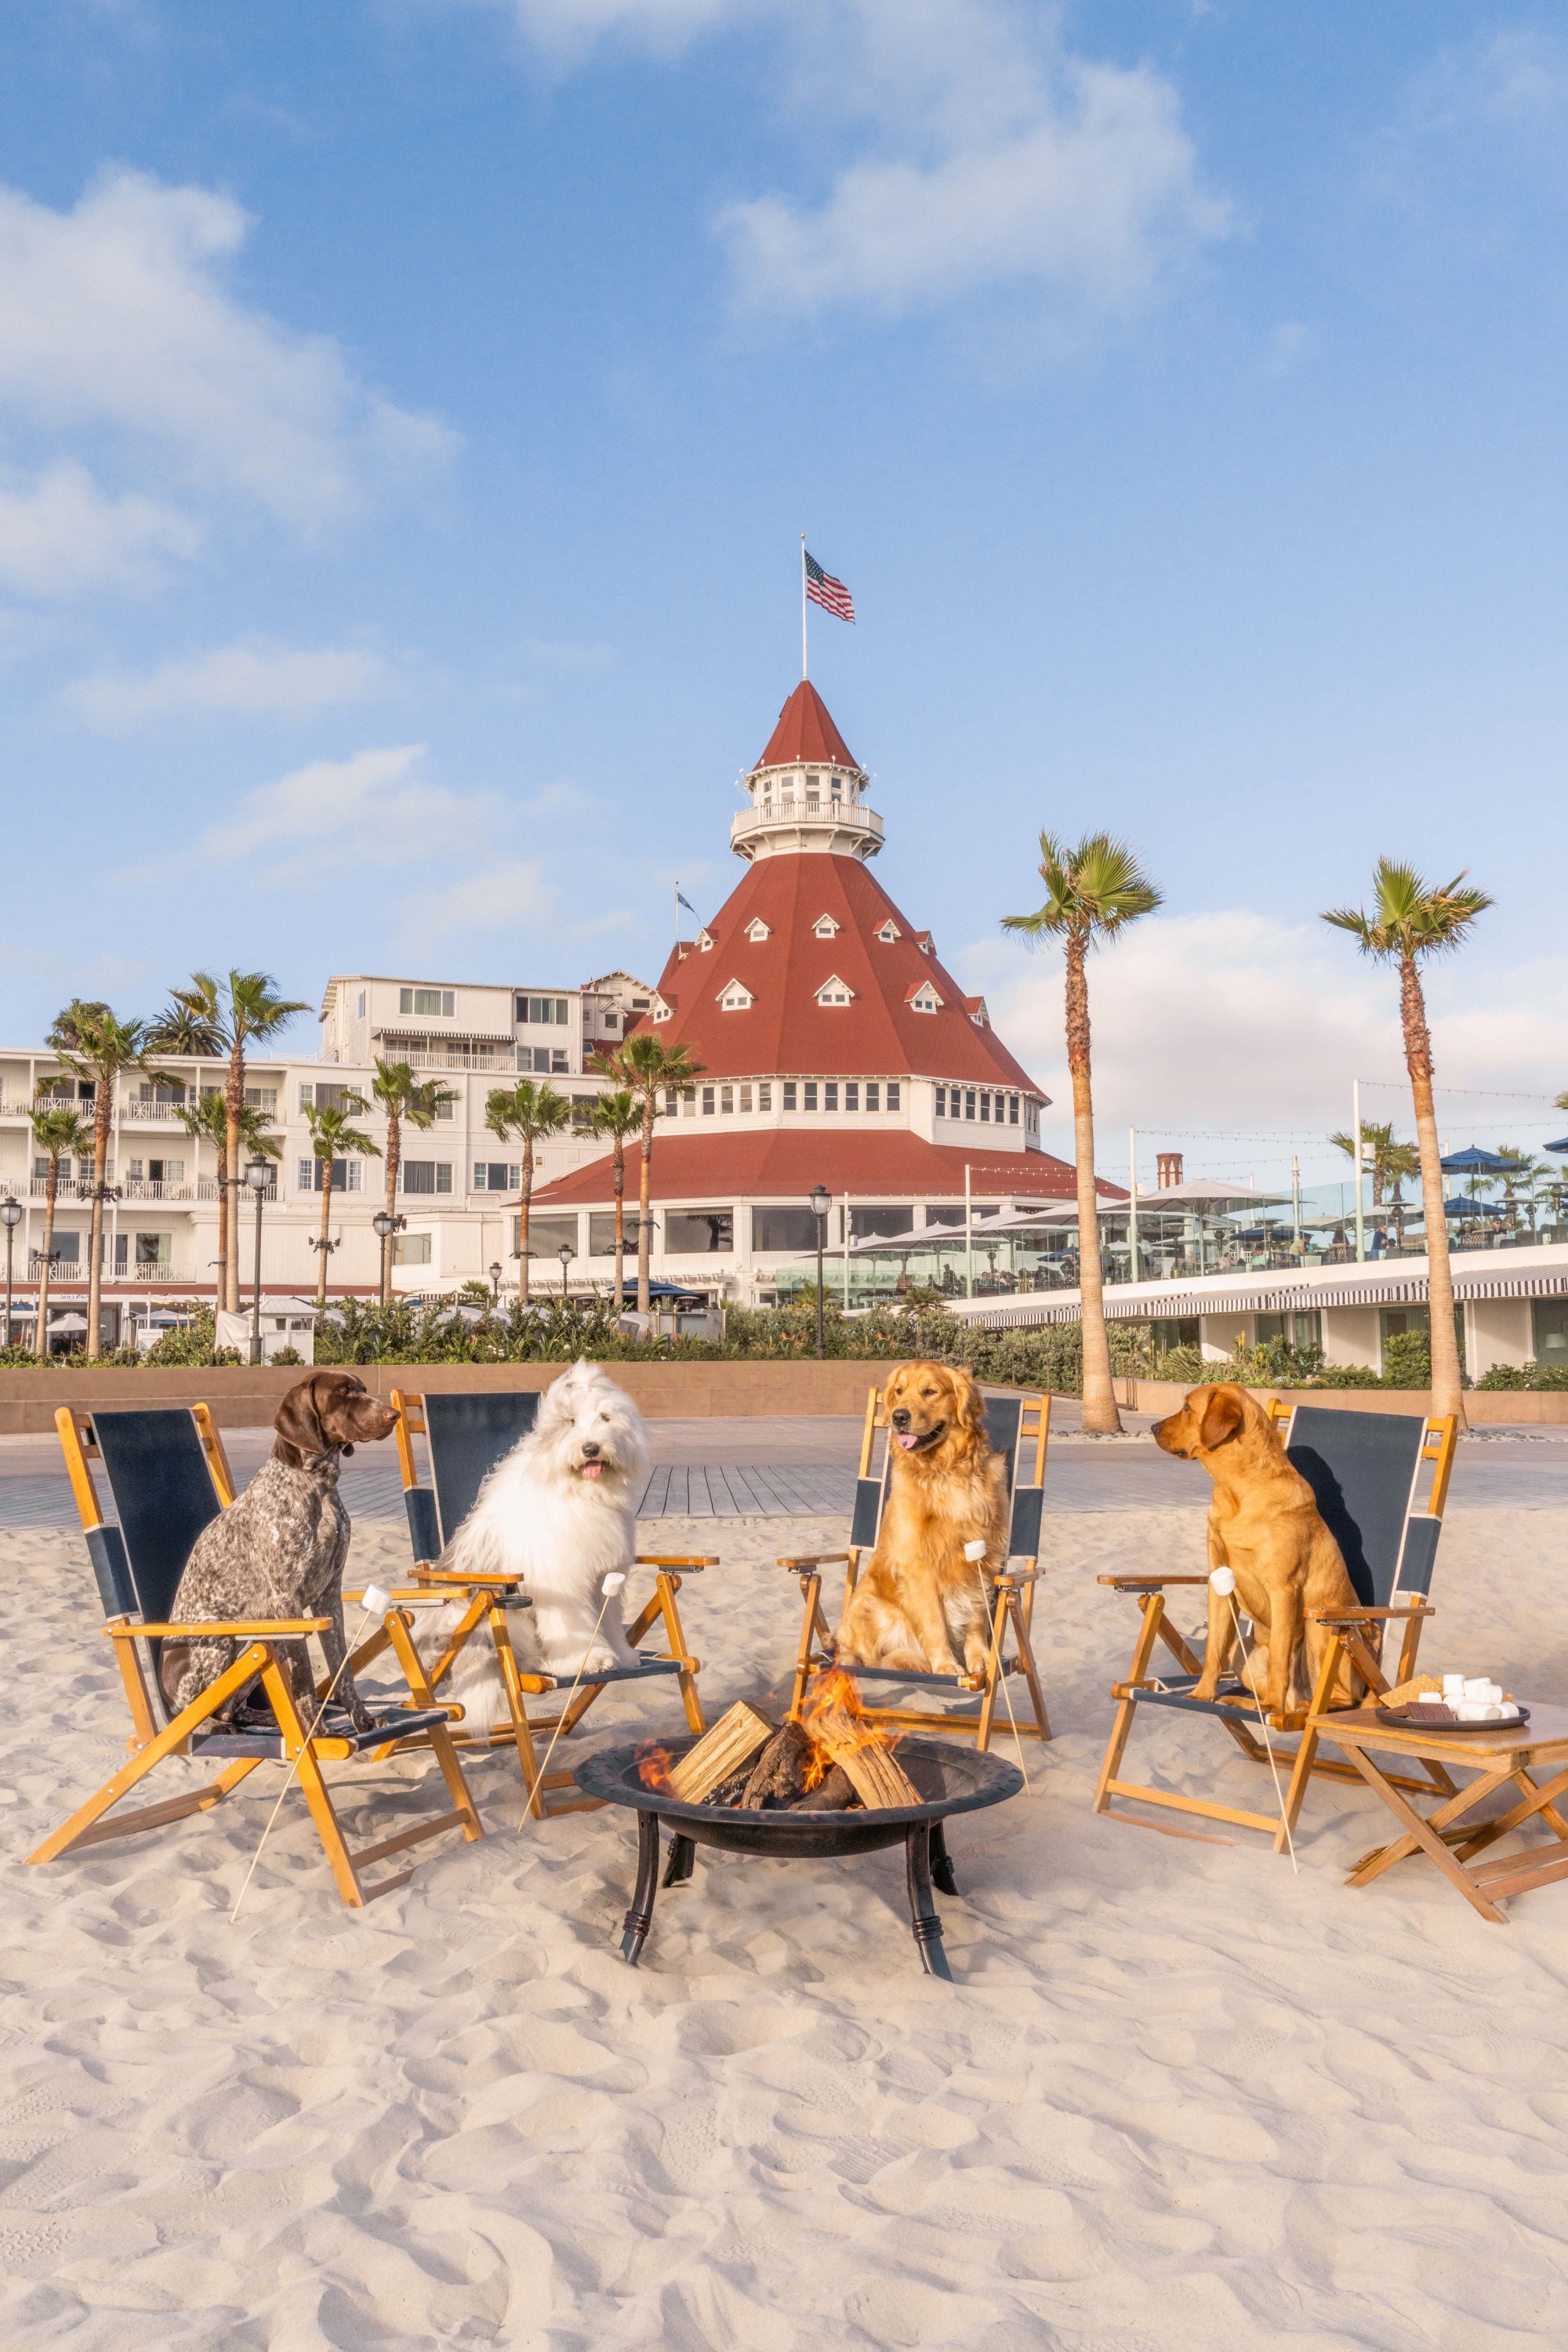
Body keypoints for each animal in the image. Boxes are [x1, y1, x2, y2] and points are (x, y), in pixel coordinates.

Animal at [411, 1364, 648, 1731]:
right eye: (570, 1421)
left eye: (606, 1417)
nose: (591, 1448)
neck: (579, 1491)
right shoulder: (560, 1580)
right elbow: (573, 1625)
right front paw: (588, 1660)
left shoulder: (604, 1576)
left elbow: (607, 1620)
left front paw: (621, 1655)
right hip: (497, 1619)